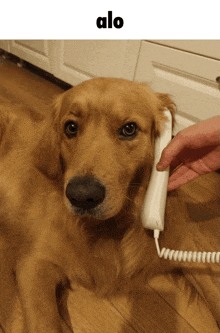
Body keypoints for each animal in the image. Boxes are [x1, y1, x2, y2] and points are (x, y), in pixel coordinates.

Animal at [0, 76, 217, 330]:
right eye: (70, 127)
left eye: (129, 129)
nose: (82, 195)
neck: (114, 228)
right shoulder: (34, 265)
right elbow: (44, 323)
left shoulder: (187, 244)